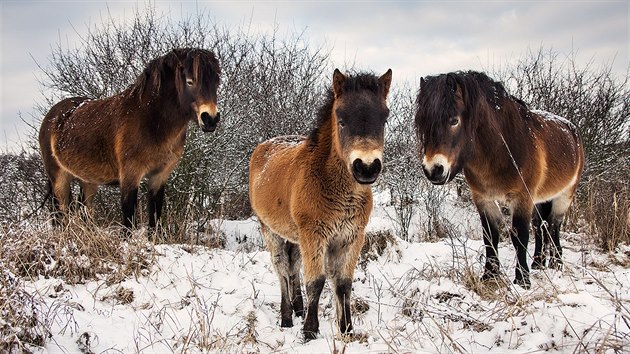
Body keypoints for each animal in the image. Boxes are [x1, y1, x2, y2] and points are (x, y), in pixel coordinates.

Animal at [39, 47, 222, 230]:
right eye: (190, 81)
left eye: (216, 82)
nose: (210, 119)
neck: (149, 119)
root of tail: (52, 116)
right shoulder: (130, 176)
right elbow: (128, 220)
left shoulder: (159, 177)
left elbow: (154, 220)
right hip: (59, 179)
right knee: (61, 215)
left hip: (88, 181)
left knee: (84, 212)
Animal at [249, 68, 392, 338]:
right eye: (341, 119)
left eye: (384, 119)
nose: (367, 167)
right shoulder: (314, 235)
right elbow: (316, 282)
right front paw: (310, 331)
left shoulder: (351, 238)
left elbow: (343, 284)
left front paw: (346, 329)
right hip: (270, 230)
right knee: (281, 269)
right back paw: (287, 317)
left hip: (294, 237)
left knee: (293, 267)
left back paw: (298, 308)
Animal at [414, 71, 588, 288]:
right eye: (422, 123)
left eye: (454, 120)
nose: (433, 170)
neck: (500, 150)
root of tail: (571, 129)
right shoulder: (483, 198)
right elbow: (490, 235)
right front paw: (489, 275)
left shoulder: (522, 198)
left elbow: (520, 236)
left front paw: (522, 280)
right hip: (540, 199)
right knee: (540, 225)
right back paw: (539, 262)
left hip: (565, 194)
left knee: (554, 225)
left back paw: (556, 263)